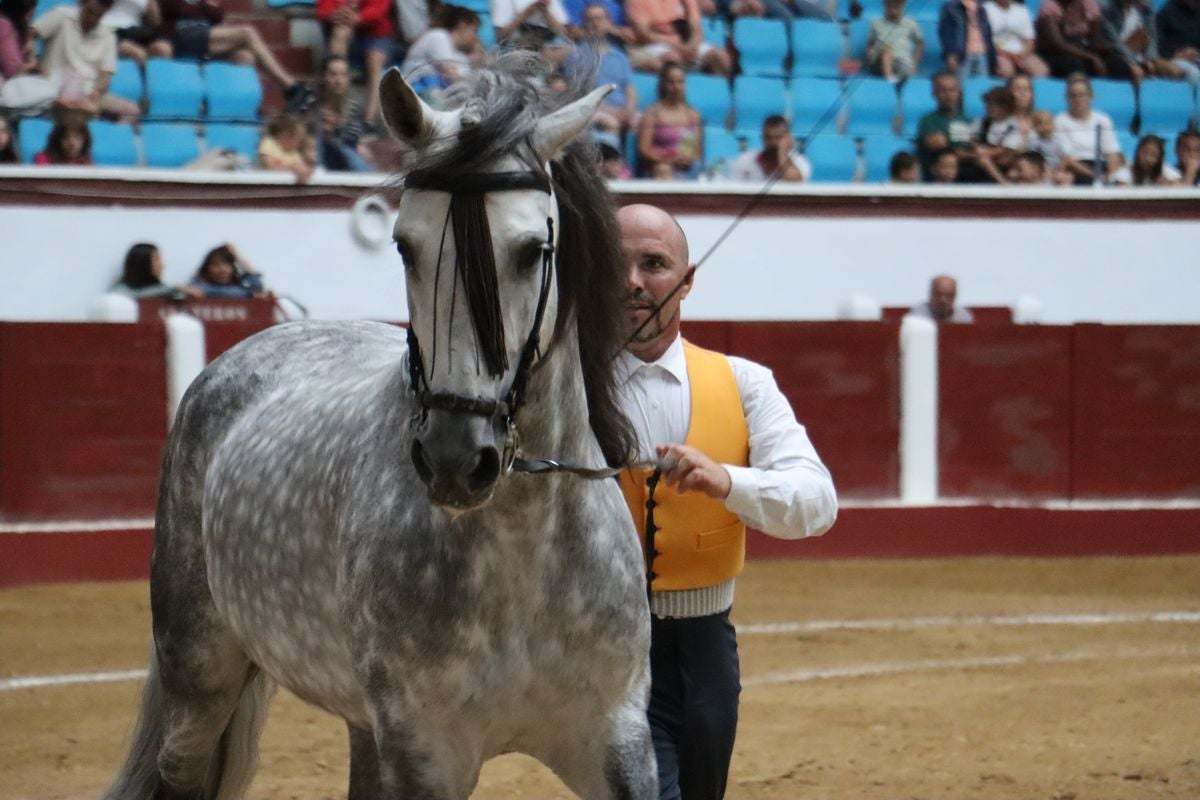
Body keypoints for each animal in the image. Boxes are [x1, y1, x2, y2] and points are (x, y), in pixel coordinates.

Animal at [106, 58, 657, 800]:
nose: (455, 459)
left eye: (533, 249)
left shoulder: (615, 737)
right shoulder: (424, 753)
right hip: (198, 680)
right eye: (404, 246)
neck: (522, 550)